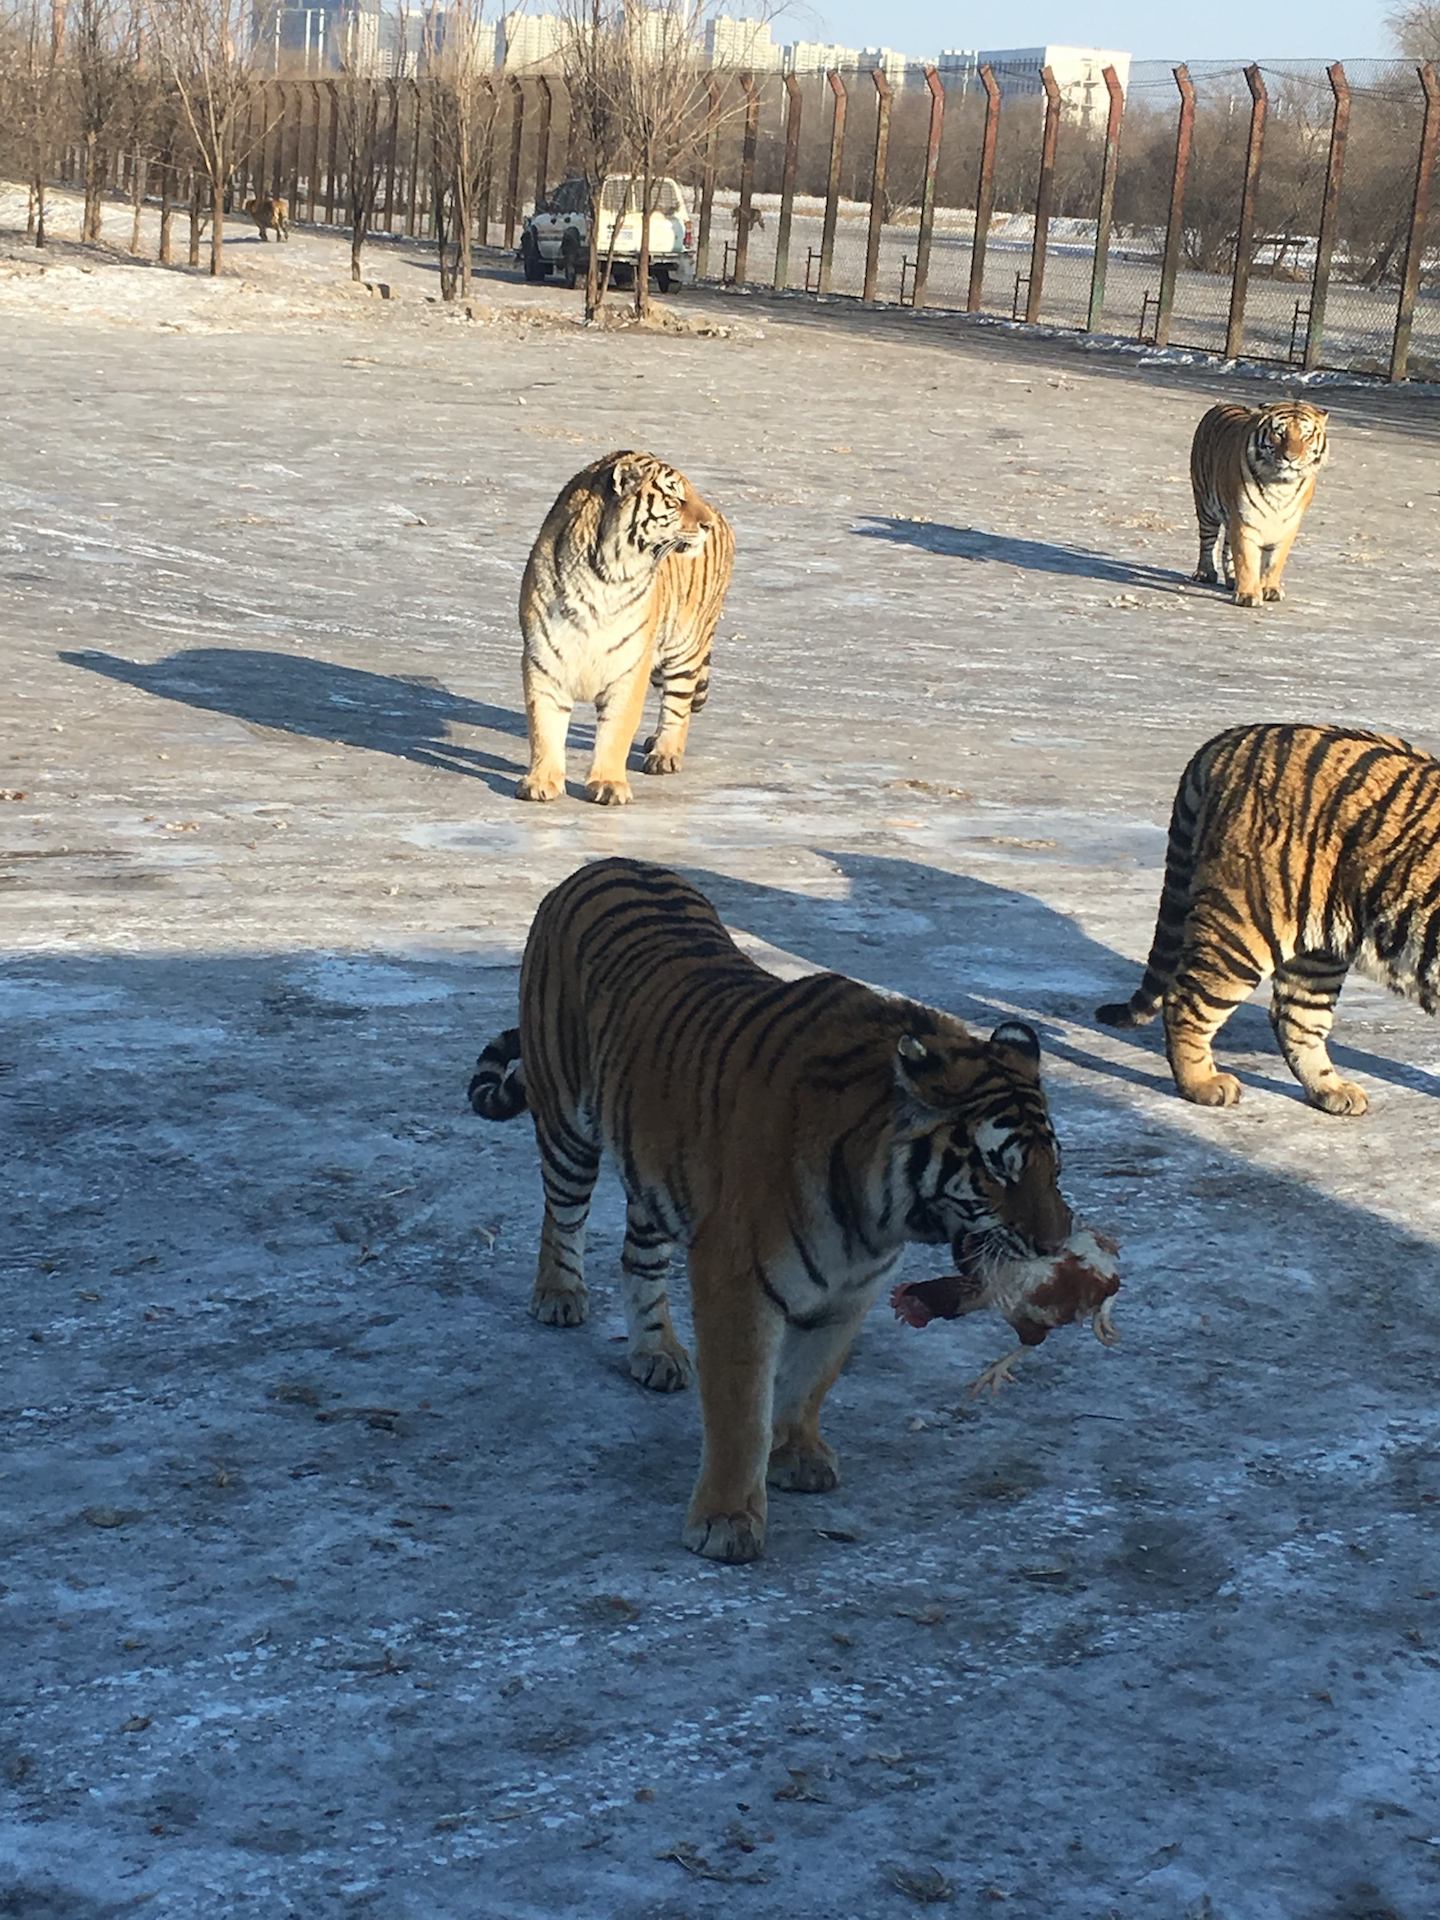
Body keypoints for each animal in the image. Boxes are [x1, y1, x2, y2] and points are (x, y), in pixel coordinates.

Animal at [468, 856, 1075, 1559]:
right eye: (999, 1169)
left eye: (1054, 1167)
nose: (1057, 1244)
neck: (877, 1214)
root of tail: (602, 863)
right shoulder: (736, 1278)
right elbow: (741, 1407)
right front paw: (726, 1521)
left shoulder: (851, 1292)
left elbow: (812, 1380)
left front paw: (799, 1455)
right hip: (570, 1125)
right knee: (561, 1215)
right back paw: (560, 1295)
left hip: (655, 1167)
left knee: (638, 1260)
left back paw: (657, 1353)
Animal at [514, 451, 733, 810]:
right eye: (675, 498)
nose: (707, 525)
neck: (606, 576)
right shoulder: (543, 659)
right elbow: (544, 727)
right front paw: (541, 781)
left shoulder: (630, 667)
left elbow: (616, 731)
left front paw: (608, 784)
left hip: (683, 649)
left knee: (678, 705)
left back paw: (664, 754)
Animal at [1090, 718, 1440, 1113]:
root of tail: (1231, 738)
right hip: (1246, 925)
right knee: (1185, 1001)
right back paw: (1204, 1085)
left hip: (1318, 950)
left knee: (1295, 1020)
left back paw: (1332, 1090)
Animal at [1190, 403, 1336, 606]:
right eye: (1279, 433)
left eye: (1306, 435)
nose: (1290, 457)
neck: (1281, 485)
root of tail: (1219, 405)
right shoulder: (1244, 520)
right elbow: (1246, 559)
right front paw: (1248, 595)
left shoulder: (1288, 525)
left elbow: (1274, 562)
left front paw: (1270, 589)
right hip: (1205, 505)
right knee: (1208, 542)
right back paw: (1205, 573)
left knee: (1227, 549)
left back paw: (1232, 580)